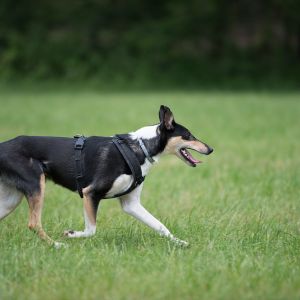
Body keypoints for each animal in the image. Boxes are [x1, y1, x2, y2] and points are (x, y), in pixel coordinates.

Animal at [0, 105, 212, 246]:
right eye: (189, 135)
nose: (211, 149)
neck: (139, 147)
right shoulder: (91, 193)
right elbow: (91, 230)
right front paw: (71, 234)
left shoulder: (131, 203)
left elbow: (159, 225)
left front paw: (180, 242)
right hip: (36, 186)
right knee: (33, 223)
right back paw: (57, 245)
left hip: (11, 200)